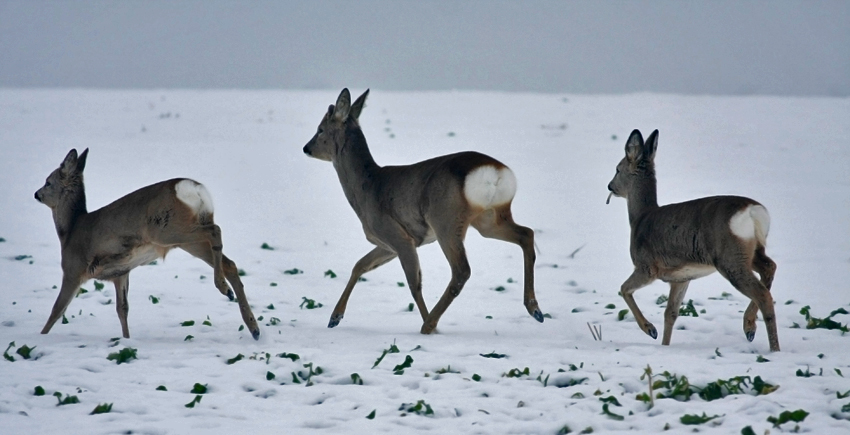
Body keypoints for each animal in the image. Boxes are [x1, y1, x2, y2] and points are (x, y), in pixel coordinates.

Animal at [34, 150, 258, 340]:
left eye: (48, 182)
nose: (36, 194)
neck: (69, 232)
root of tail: (194, 188)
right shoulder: (121, 273)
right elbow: (122, 309)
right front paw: (127, 340)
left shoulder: (72, 269)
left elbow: (57, 309)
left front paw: (41, 337)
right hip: (188, 239)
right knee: (229, 262)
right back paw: (252, 326)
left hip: (166, 229)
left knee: (216, 230)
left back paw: (223, 288)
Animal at [304, 88, 544, 334]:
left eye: (320, 129)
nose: (306, 148)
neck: (367, 187)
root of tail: (494, 173)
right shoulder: (391, 243)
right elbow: (360, 265)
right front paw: (334, 317)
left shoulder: (397, 236)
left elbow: (414, 283)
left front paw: (430, 326)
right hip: (490, 218)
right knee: (526, 234)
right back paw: (535, 309)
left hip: (446, 220)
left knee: (461, 271)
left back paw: (428, 324)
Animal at [608, 129, 780, 350]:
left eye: (617, 169)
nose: (610, 186)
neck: (640, 218)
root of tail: (753, 211)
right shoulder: (682, 277)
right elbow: (671, 314)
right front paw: (664, 345)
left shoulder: (647, 266)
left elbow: (624, 289)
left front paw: (650, 330)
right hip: (752, 250)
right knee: (770, 268)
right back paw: (749, 327)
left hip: (730, 258)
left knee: (763, 294)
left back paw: (770, 346)